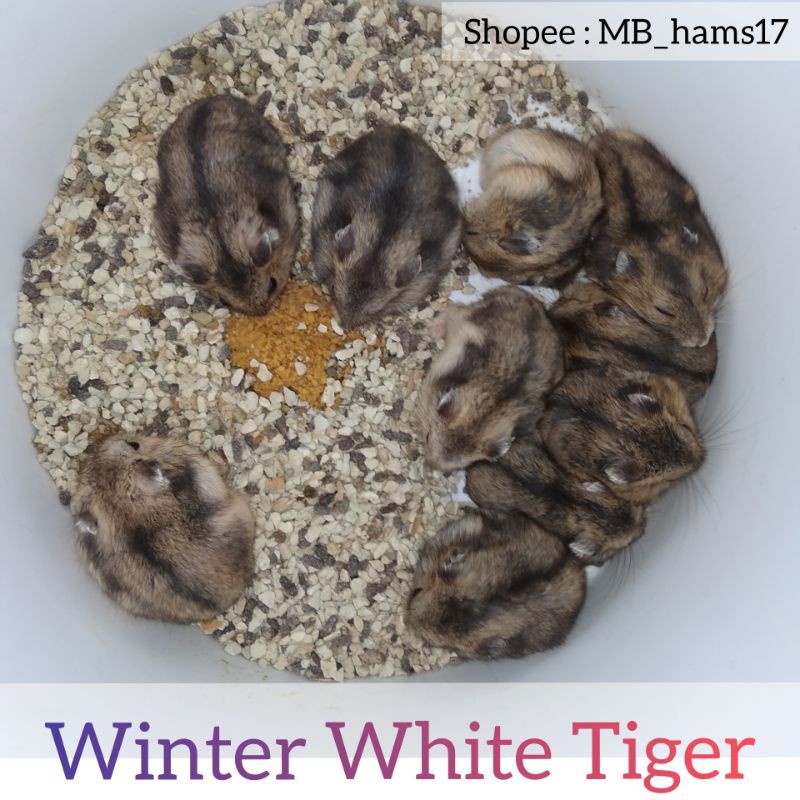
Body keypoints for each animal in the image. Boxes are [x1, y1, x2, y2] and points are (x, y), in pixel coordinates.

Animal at [418, 286, 563, 472]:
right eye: (427, 436)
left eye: (462, 465)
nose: (429, 466)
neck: (484, 414)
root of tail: (522, 294)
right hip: (464, 317)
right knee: (453, 307)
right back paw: (433, 331)